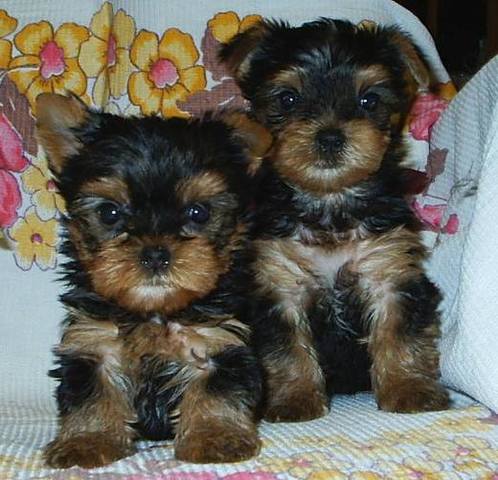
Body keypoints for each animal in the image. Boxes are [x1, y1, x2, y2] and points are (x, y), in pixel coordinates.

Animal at [36, 92, 270, 466]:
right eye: (109, 213)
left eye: (198, 212)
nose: (155, 253)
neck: (153, 312)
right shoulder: (90, 341)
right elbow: (91, 393)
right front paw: (86, 440)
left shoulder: (217, 340)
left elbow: (217, 390)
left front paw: (215, 436)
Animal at [220, 18, 450, 422]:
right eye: (288, 99)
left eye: (368, 100)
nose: (329, 136)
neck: (329, 201)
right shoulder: (279, 282)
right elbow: (285, 348)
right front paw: (294, 399)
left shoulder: (388, 270)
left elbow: (401, 332)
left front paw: (410, 388)